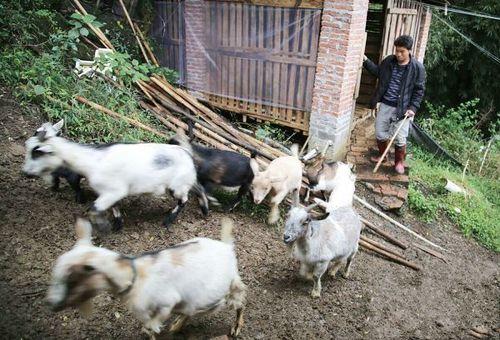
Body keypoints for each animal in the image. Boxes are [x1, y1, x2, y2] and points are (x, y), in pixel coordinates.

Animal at [47, 218, 247, 338]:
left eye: (71, 280)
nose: (51, 303)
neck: (136, 277)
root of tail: (226, 246)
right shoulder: (145, 312)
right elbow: (148, 329)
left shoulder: (166, 302)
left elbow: (153, 325)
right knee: (192, 311)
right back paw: (177, 326)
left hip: (229, 287)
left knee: (240, 301)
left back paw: (236, 327)